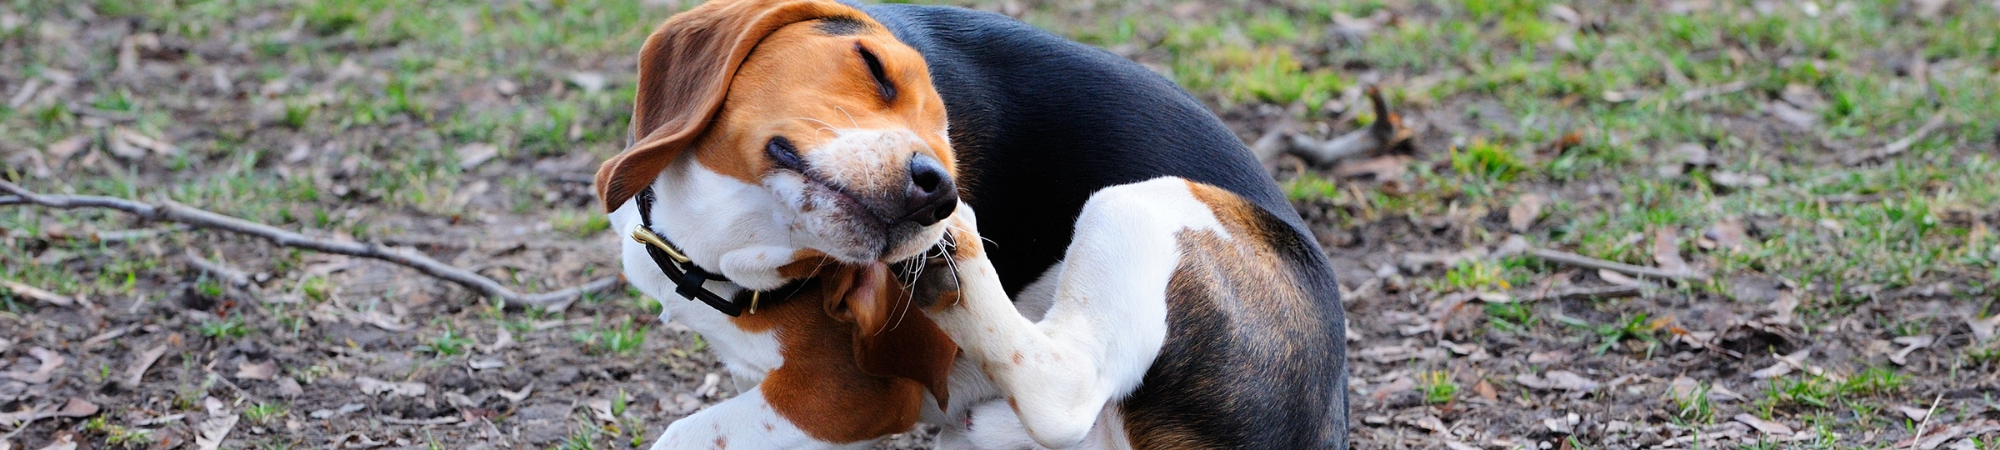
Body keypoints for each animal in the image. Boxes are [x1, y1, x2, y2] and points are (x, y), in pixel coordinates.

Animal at [592, 0, 1344, 450]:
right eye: (873, 66)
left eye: (952, 147)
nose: (940, 191)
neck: (718, 250)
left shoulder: (844, 396)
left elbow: (682, 436)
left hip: (1143, 201)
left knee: (1065, 387)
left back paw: (956, 268)